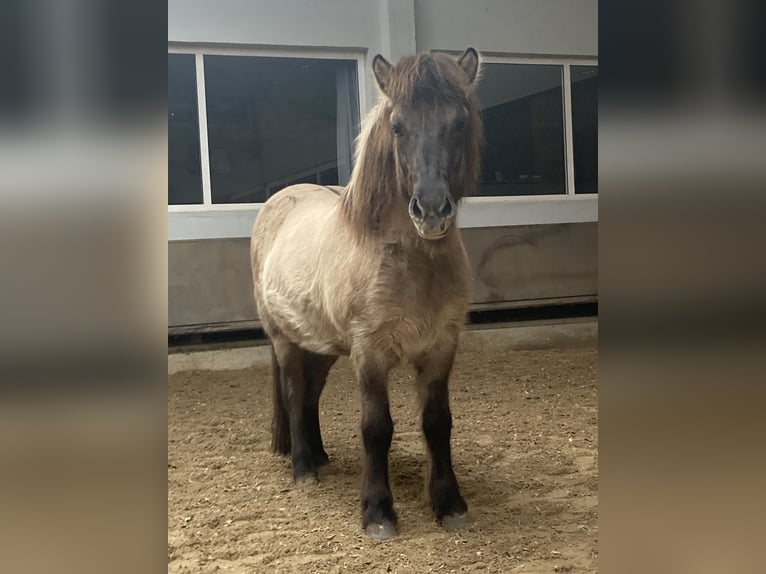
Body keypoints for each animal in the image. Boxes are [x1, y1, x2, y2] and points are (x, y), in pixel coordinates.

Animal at [250, 47, 483, 540]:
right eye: (398, 126)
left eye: (458, 122)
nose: (431, 210)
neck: (411, 261)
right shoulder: (370, 353)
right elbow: (376, 427)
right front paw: (378, 513)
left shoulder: (441, 348)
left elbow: (438, 423)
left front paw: (450, 504)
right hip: (285, 340)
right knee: (295, 393)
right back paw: (304, 468)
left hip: (323, 346)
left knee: (311, 394)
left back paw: (320, 456)